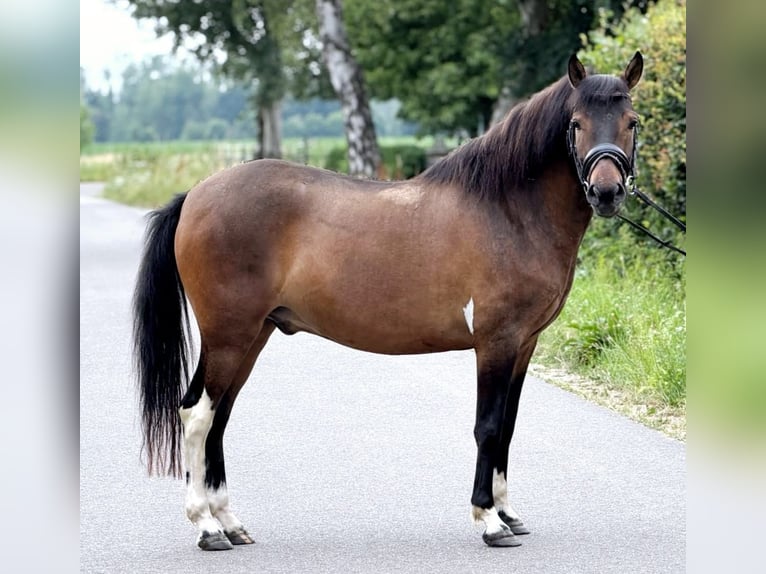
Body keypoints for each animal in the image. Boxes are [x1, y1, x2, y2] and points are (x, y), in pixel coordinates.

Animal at [133, 52, 644, 550]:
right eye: (576, 123)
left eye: (632, 121)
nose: (606, 192)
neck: (508, 211)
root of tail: (197, 195)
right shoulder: (495, 342)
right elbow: (488, 426)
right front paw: (489, 519)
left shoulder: (524, 345)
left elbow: (509, 426)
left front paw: (508, 512)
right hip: (229, 335)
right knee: (197, 416)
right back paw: (206, 527)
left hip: (252, 335)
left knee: (218, 417)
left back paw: (230, 523)